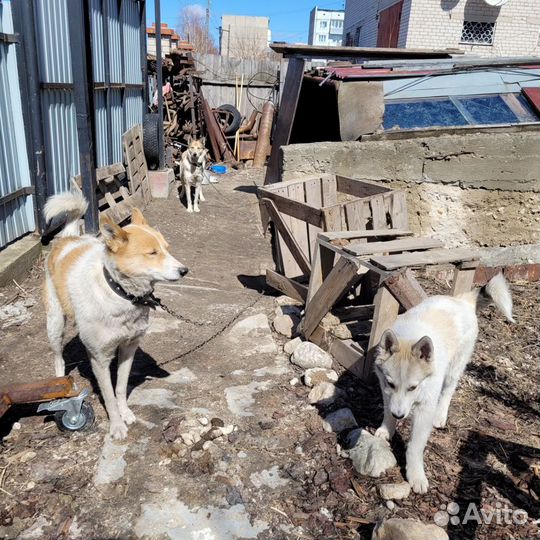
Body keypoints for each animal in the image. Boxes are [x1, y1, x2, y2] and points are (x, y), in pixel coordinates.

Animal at [43, 184, 189, 440]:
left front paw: (126, 413)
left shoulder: (128, 348)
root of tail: (68, 238)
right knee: (58, 359)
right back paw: (61, 383)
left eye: (167, 249)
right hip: (55, 323)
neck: (119, 293)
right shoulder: (100, 359)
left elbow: (120, 388)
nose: (184, 270)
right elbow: (109, 395)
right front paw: (117, 426)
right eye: (152, 253)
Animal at [374, 274, 512, 494]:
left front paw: (415, 475)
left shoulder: (424, 409)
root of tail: (463, 300)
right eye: (391, 383)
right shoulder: (386, 391)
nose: (399, 415)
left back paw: (440, 416)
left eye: (413, 387)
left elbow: (415, 446)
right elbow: (387, 410)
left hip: (454, 369)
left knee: (448, 392)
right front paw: (387, 429)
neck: (410, 337)